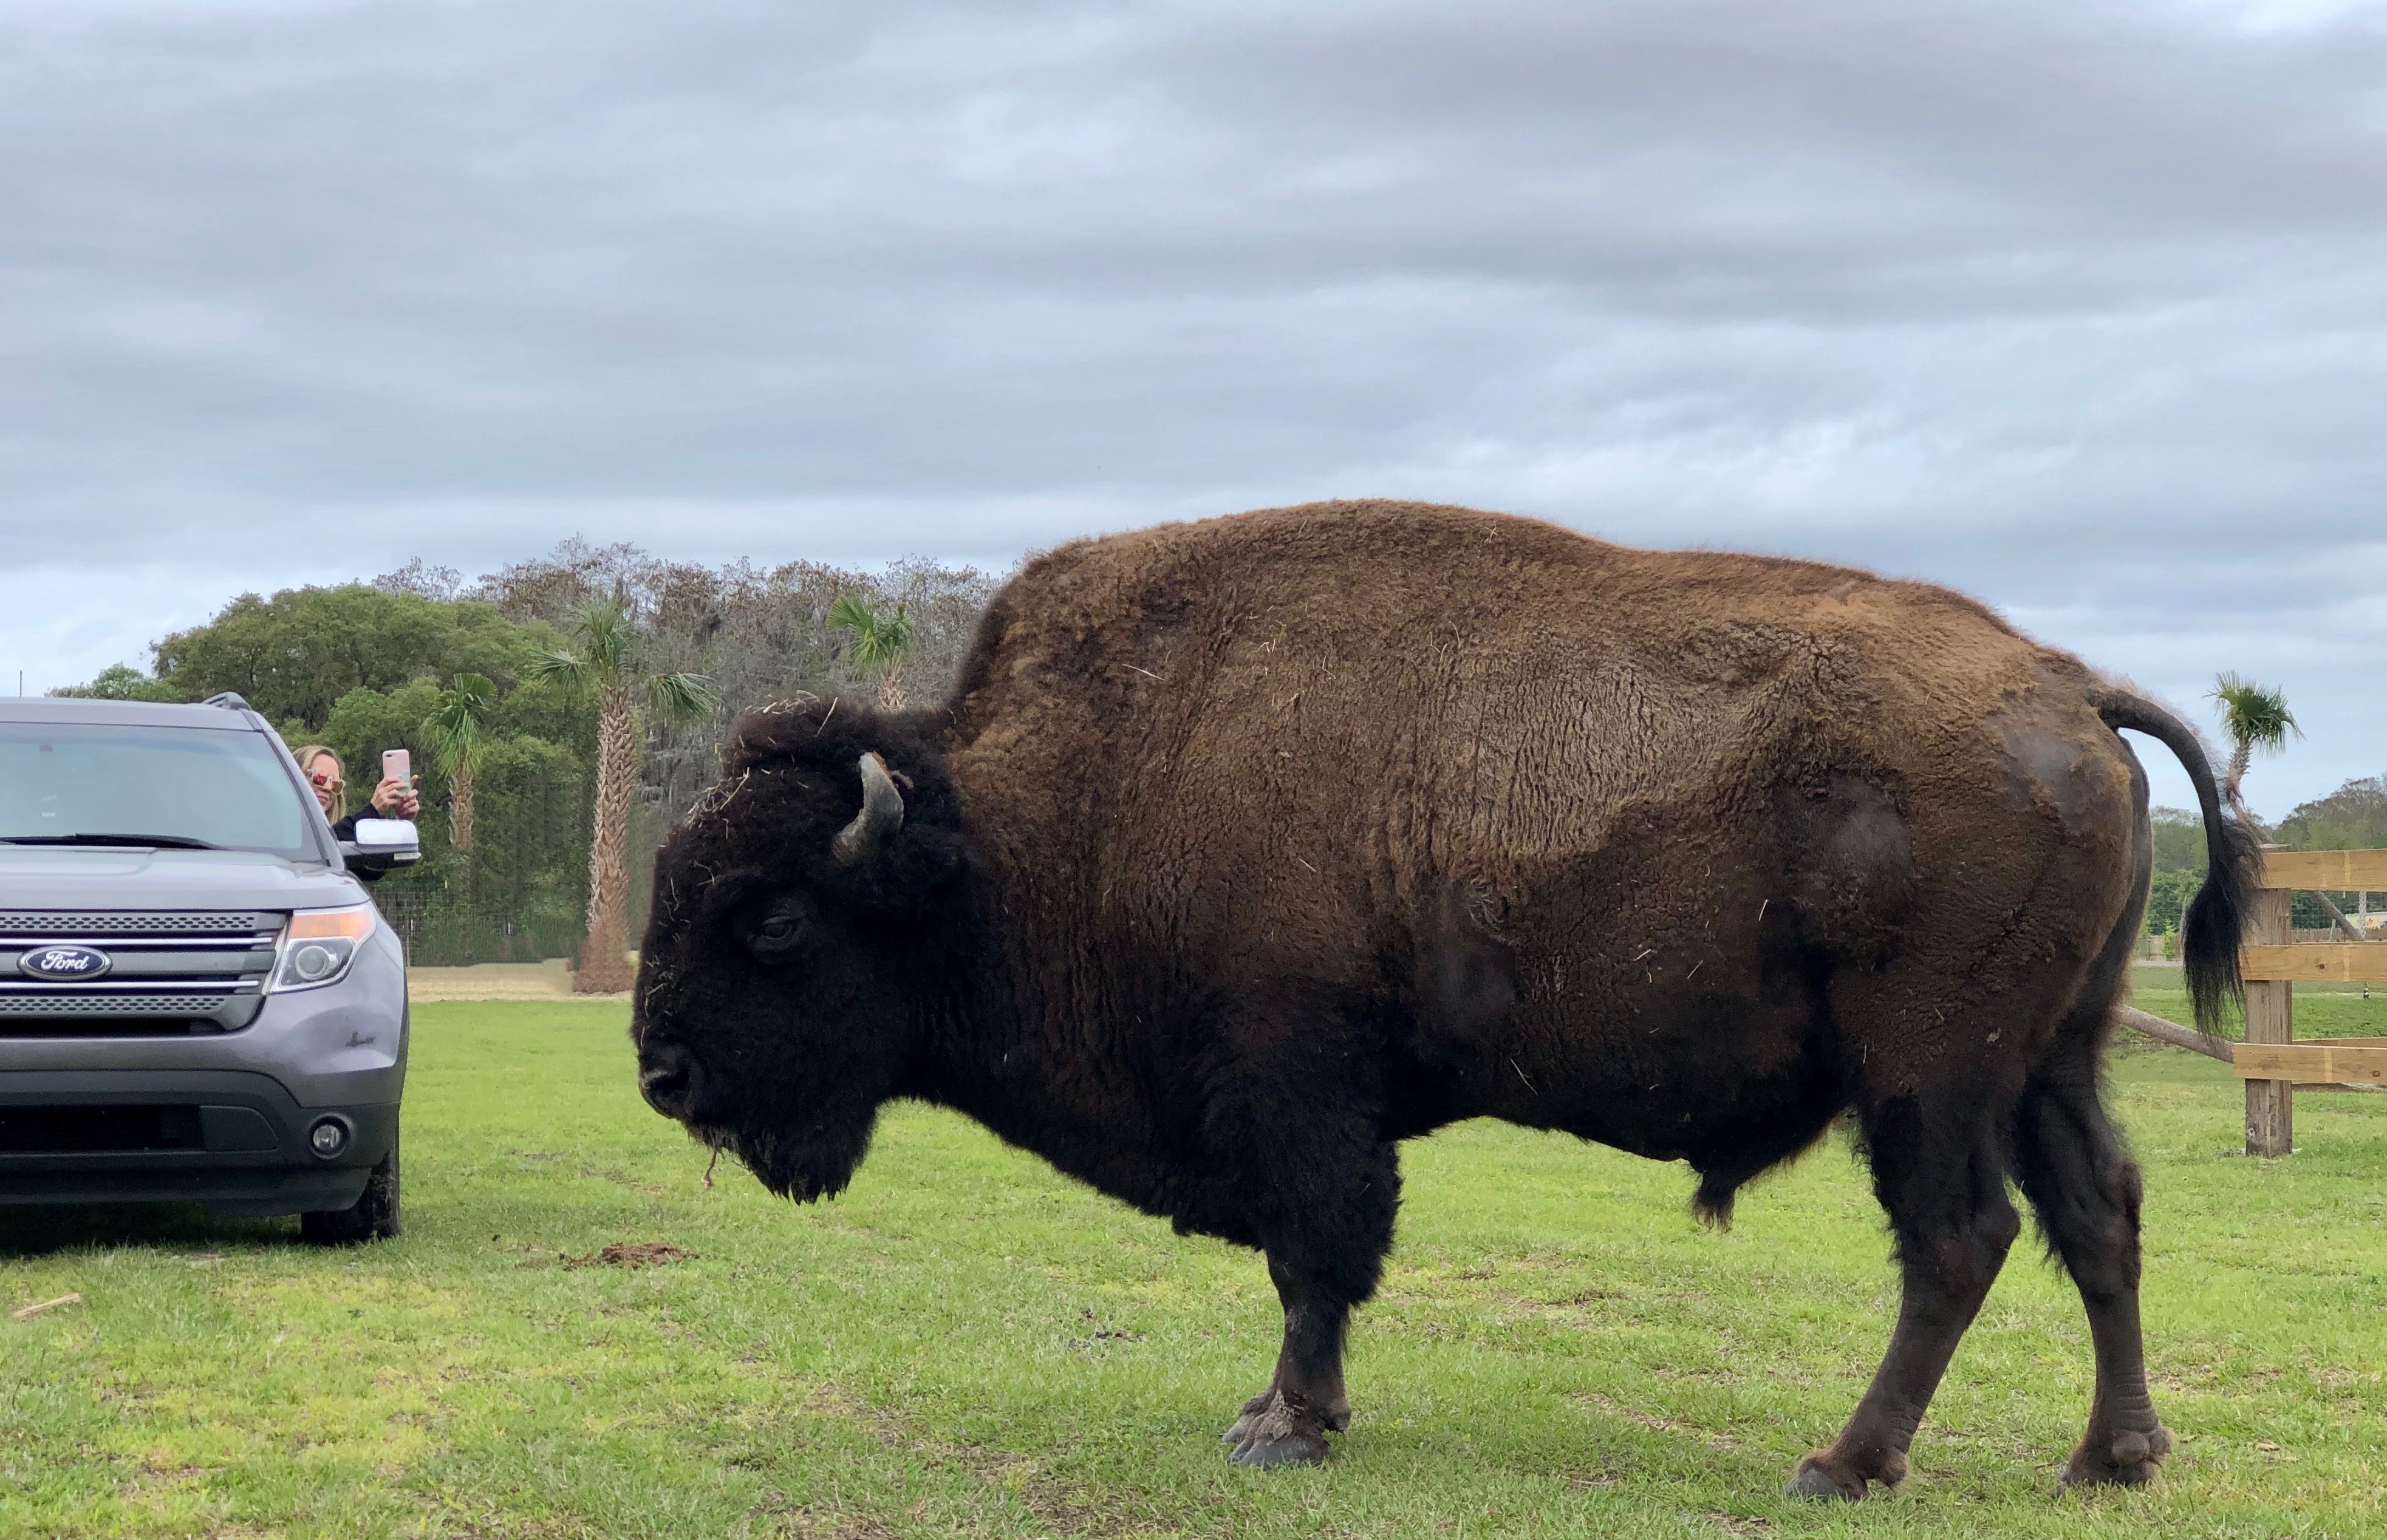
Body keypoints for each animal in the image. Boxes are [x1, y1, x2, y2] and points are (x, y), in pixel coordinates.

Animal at [630, 499, 2253, 1499]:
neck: (1017, 820)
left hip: (1927, 1069)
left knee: (1959, 1239)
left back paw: (1842, 1463)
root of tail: (2068, 687)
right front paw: (1293, 1415)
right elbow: (1319, 1259)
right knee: (2098, 1215)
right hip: (2057, 1052)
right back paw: (2110, 1458)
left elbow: (1314, 1257)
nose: (663, 1076)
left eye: (768, 915)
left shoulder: (1294, 1084)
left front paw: (1280, 1426)